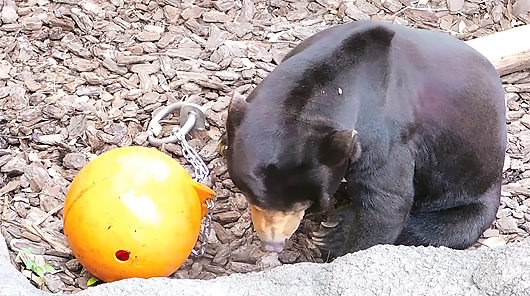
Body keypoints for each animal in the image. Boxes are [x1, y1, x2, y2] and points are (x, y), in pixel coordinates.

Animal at [221, 19, 506, 260]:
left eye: (303, 203)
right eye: (251, 195)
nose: (273, 243)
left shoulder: (385, 138)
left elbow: (386, 202)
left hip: (468, 187)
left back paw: (334, 231)